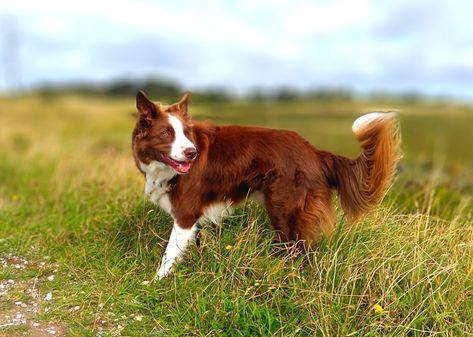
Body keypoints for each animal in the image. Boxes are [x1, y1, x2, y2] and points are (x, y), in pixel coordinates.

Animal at [131, 90, 400, 280]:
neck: (161, 168)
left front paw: (155, 282)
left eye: (186, 133)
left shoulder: (185, 214)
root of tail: (315, 152)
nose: (192, 153)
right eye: (166, 133)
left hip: (284, 210)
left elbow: (169, 253)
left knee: (296, 250)